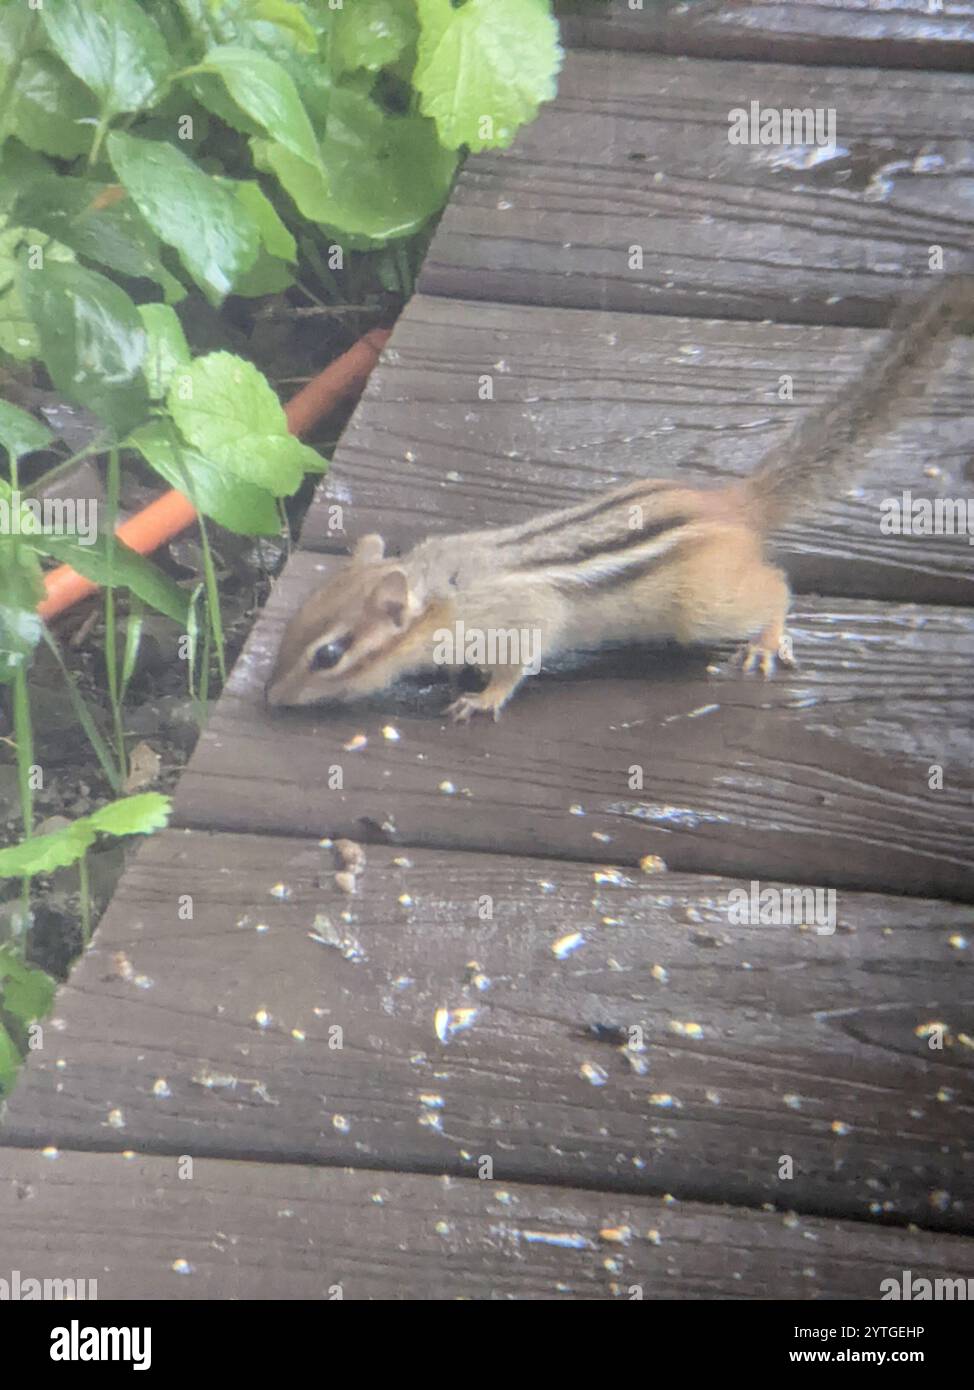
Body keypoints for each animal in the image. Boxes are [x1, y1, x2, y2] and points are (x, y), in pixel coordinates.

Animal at [267, 277, 971, 721]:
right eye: (295, 622)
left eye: (328, 655)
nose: (272, 697)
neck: (438, 588)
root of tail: (731, 505)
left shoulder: (519, 619)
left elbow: (519, 663)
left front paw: (482, 697)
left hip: (705, 608)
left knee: (774, 588)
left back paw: (767, 639)